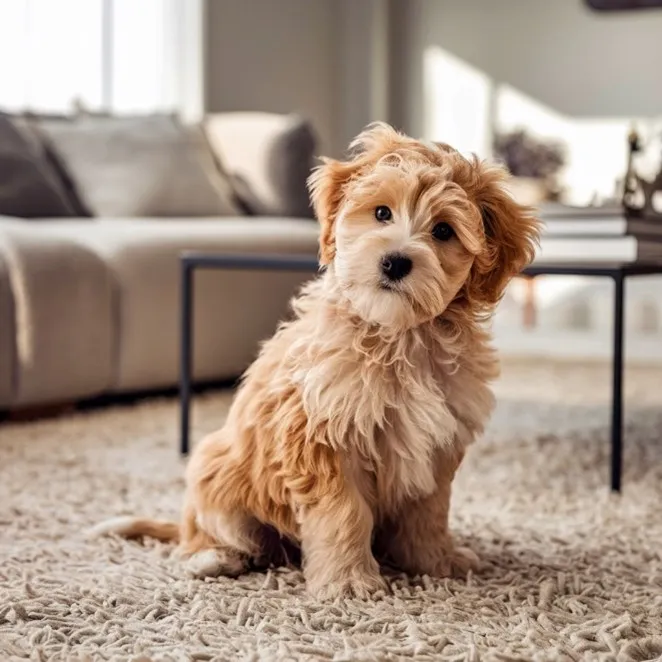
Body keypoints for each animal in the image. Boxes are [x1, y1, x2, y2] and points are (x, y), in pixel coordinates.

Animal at [96, 123, 544, 600]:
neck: (399, 335)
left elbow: (429, 510)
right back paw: (212, 556)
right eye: (382, 213)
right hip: (214, 468)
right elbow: (343, 512)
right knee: (209, 529)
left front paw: (434, 560)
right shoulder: (322, 433)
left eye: (443, 231)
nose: (395, 261)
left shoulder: (440, 440)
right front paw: (350, 581)